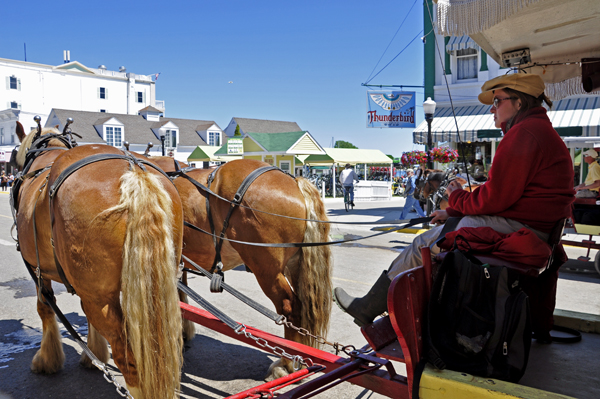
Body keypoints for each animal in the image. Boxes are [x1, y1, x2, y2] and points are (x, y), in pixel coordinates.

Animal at [15, 123, 185, 398]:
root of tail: (134, 172)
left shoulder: (36, 268)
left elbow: (45, 309)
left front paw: (47, 360)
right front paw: (93, 355)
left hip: (98, 298)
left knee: (130, 362)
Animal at [150, 156, 330, 382]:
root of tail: (294, 182)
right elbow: (180, 296)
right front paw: (182, 332)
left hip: (267, 270)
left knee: (291, 308)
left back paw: (287, 364)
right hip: (295, 265)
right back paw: (301, 360)